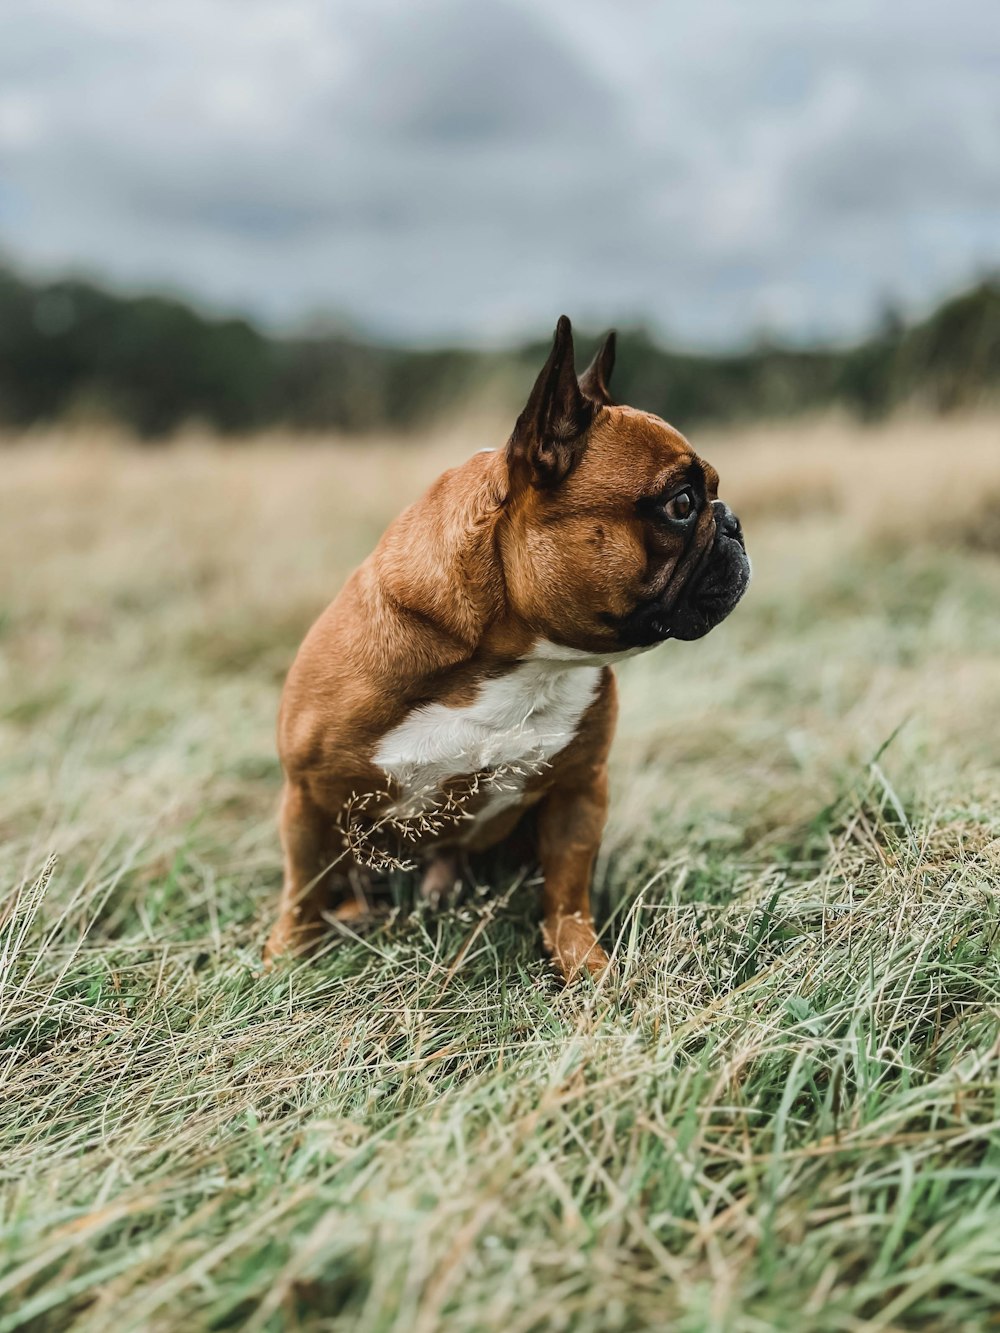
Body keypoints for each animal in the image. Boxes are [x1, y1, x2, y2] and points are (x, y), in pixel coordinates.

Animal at [266, 311, 752, 981]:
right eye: (681, 504)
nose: (732, 522)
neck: (516, 660)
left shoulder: (579, 790)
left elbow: (568, 892)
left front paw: (585, 966)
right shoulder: (309, 798)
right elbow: (303, 890)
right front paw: (283, 959)